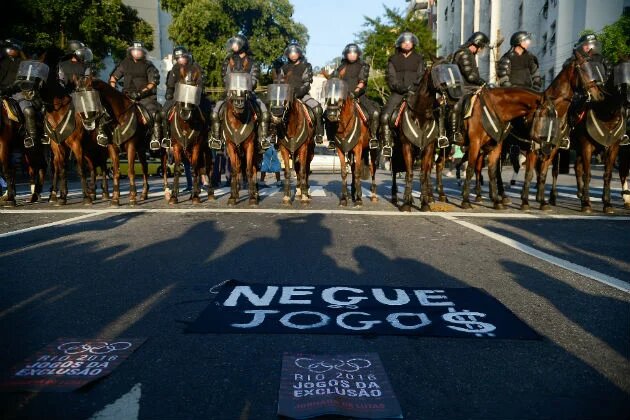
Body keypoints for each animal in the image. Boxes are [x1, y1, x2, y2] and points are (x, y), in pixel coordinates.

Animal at [165, 65, 215, 204]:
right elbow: (177, 169)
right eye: (181, 87)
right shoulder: (176, 146)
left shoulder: (197, 146)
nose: (185, 114)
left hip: (205, 150)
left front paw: (196, 197)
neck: (186, 124)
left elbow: (195, 168)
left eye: (194, 90)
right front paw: (173, 196)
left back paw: (208, 193)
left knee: (207, 168)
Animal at [326, 78, 380, 207]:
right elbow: (344, 172)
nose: (331, 115)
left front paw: (359, 199)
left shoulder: (358, 148)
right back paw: (353, 193)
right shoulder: (341, 150)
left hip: (372, 150)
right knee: (353, 166)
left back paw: (373, 195)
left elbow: (358, 172)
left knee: (372, 168)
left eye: (340, 95)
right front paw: (344, 199)